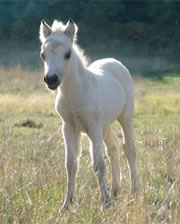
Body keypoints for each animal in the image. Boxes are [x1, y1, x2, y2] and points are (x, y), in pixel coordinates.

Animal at [39, 18, 138, 208]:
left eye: (68, 54)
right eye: (43, 55)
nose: (51, 80)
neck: (75, 95)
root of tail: (114, 61)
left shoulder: (93, 127)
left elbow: (98, 165)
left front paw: (104, 203)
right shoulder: (68, 128)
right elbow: (70, 165)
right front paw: (66, 204)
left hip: (125, 117)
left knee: (129, 149)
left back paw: (134, 193)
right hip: (105, 125)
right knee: (113, 147)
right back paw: (115, 192)